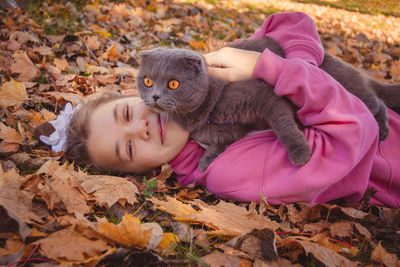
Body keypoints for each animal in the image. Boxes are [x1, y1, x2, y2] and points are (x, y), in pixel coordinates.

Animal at [138, 38, 400, 171]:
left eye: (173, 84)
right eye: (147, 81)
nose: (155, 96)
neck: (206, 112)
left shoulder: (267, 97)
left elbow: (283, 125)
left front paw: (300, 152)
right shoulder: (229, 129)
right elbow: (221, 140)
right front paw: (207, 160)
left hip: (343, 82)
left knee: (373, 100)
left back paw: (382, 129)